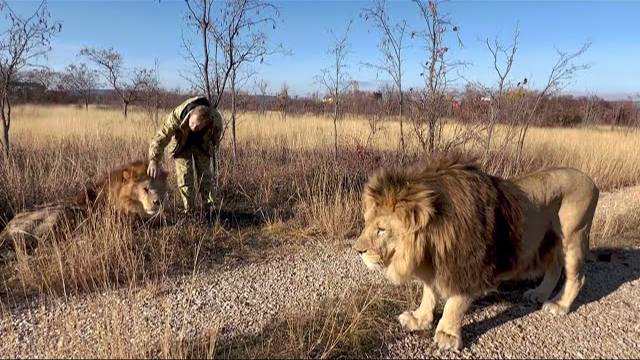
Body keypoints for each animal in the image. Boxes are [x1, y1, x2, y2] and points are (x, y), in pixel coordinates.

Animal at [1, 160, 166, 258]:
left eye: (159, 188)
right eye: (145, 189)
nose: (158, 202)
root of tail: (6, 229)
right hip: (61, 213)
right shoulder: (123, 221)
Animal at [356, 155, 600, 352]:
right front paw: (419, 318)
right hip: (552, 241)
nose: (358, 250)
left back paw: (559, 305)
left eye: (381, 229)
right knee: (555, 267)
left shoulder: (468, 265)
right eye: (366, 222)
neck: (431, 244)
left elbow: (455, 302)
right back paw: (539, 294)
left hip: (574, 235)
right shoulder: (437, 263)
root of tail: (592, 182)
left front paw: (447, 334)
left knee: (577, 277)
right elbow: (429, 293)